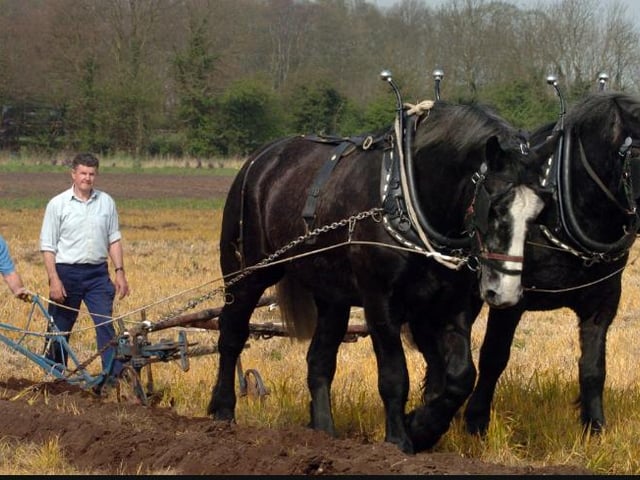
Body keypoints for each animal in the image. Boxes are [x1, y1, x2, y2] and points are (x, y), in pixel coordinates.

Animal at [208, 84, 549, 454]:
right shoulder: (380, 303)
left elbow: (459, 376)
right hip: (247, 273)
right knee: (232, 334)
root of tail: (261, 159)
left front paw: (423, 427)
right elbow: (394, 375)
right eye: (495, 207)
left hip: (332, 297)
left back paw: (323, 432)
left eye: (538, 212)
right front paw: (399, 440)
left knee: (319, 360)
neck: (407, 198)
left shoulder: (449, 304)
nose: (506, 292)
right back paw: (222, 411)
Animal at [463, 90, 640, 437]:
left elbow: (593, 367)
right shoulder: (509, 296)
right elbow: (494, 356)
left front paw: (594, 427)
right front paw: (475, 421)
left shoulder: (603, 302)